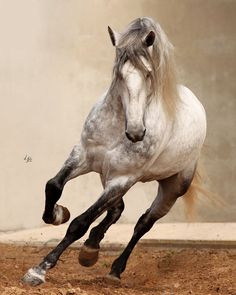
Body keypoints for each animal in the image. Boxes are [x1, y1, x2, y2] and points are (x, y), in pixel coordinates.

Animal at [22, 17, 206, 286]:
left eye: (148, 73)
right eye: (119, 74)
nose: (137, 132)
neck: (117, 127)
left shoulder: (122, 178)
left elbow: (80, 223)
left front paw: (39, 269)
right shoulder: (83, 156)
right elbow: (53, 186)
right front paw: (58, 214)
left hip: (170, 187)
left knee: (143, 223)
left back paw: (115, 269)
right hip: (106, 175)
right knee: (117, 210)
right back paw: (91, 248)